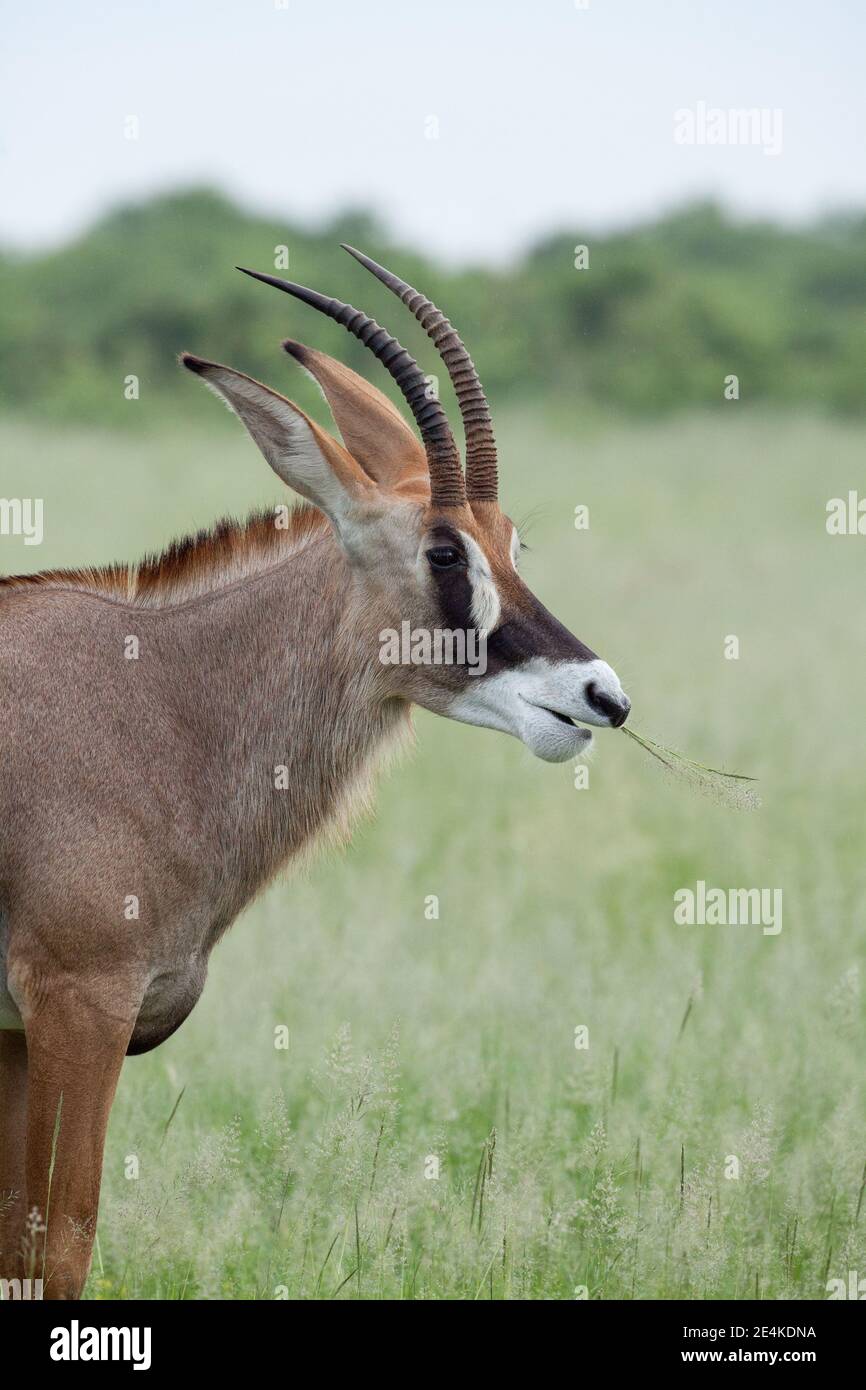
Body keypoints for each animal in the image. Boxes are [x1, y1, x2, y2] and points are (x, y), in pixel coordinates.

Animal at [0, 247, 630, 1299]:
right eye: (445, 550)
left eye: (513, 542)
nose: (602, 696)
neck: (157, 696)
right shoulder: (76, 1007)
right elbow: (57, 1246)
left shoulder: (18, 1033)